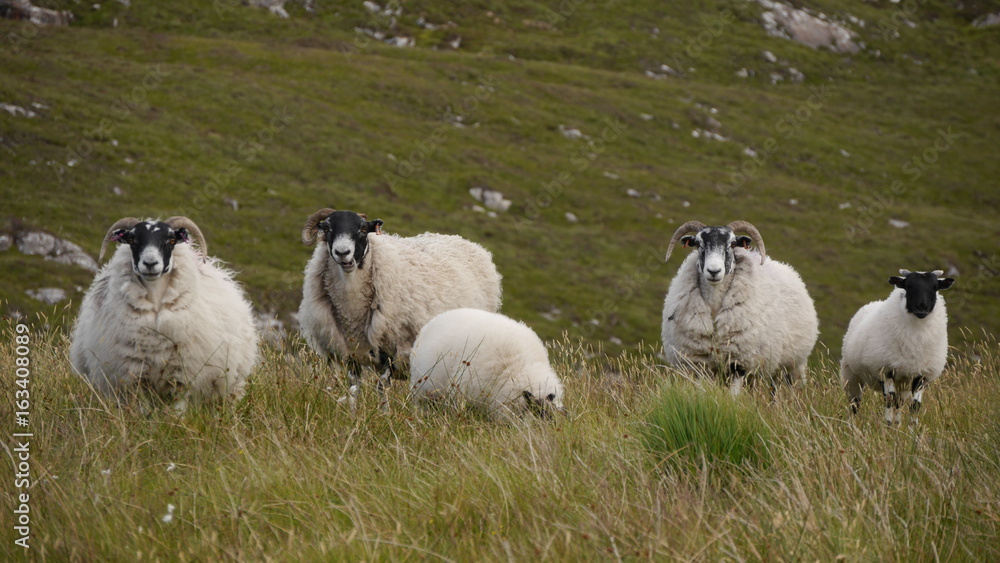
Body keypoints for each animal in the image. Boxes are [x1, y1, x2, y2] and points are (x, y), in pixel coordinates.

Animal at [69, 217, 258, 409]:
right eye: (132, 239)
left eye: (171, 240)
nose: (150, 263)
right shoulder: (137, 376)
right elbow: (142, 409)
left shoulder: (182, 375)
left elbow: (178, 408)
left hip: (231, 384)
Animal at [297, 208, 503, 410]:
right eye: (326, 228)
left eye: (363, 229)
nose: (342, 252)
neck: (351, 310)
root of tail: (465, 241)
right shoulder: (350, 351)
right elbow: (353, 387)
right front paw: (353, 413)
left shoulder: (393, 347)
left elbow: (381, 385)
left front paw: (383, 414)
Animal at [660, 220, 819, 395]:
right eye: (698, 243)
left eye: (733, 243)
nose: (714, 271)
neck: (715, 308)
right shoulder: (701, 363)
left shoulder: (739, 362)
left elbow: (734, 396)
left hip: (793, 363)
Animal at [840, 269, 955, 424]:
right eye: (908, 286)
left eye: (935, 287)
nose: (922, 307)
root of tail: (872, 303)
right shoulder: (886, 370)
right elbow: (889, 400)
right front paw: (887, 427)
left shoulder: (923, 375)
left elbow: (915, 406)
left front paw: (912, 429)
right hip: (852, 376)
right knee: (855, 403)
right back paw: (852, 425)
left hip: (903, 382)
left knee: (899, 403)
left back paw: (897, 424)